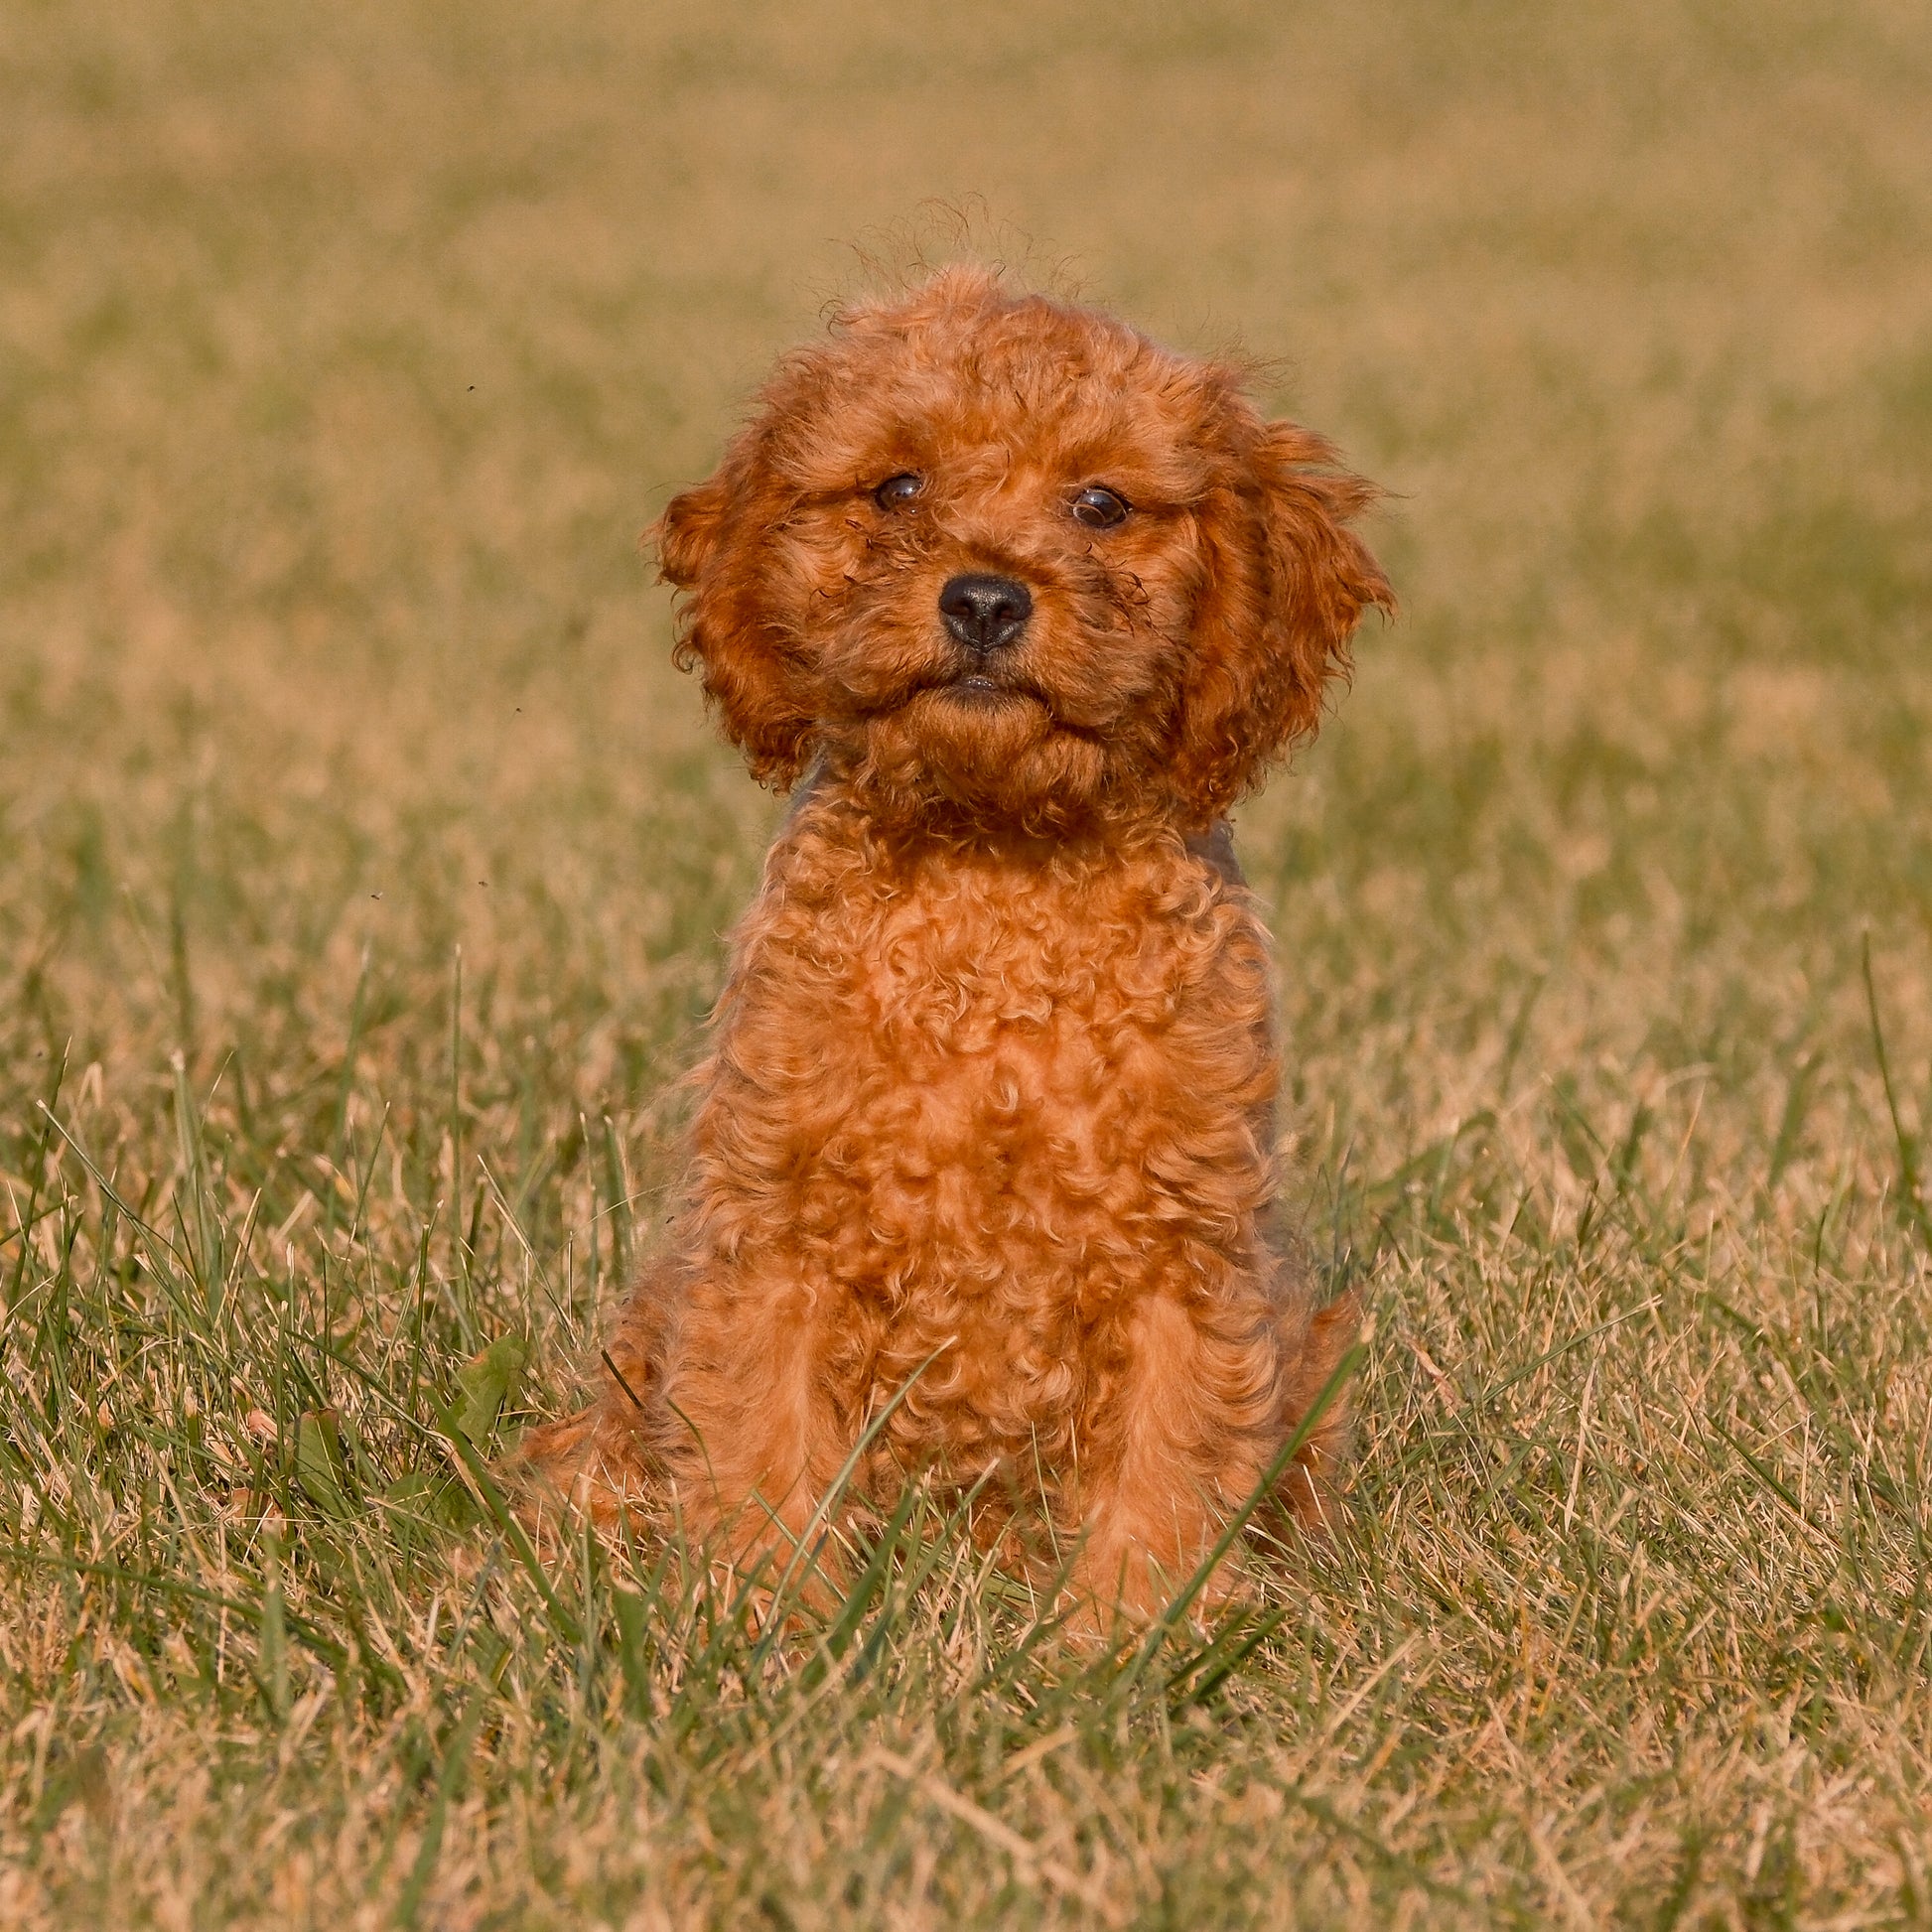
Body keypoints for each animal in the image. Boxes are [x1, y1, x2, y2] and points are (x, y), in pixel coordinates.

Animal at [529, 264, 1391, 1622]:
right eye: (896, 488)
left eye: (1100, 504)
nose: (983, 596)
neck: (995, 864)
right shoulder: (769, 1230)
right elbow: (758, 1444)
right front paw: (762, 1623)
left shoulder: (1186, 1252)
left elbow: (1167, 1461)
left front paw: (1129, 1636)